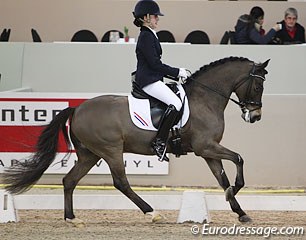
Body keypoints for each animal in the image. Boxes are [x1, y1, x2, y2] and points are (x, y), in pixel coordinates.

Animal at [2, 57, 270, 226]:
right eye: (258, 86)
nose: (256, 116)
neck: (205, 99)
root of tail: (77, 109)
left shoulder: (207, 151)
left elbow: (222, 178)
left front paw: (240, 211)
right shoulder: (206, 147)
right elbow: (239, 159)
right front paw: (234, 193)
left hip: (90, 154)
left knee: (70, 180)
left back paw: (71, 218)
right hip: (111, 150)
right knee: (121, 183)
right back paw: (152, 213)